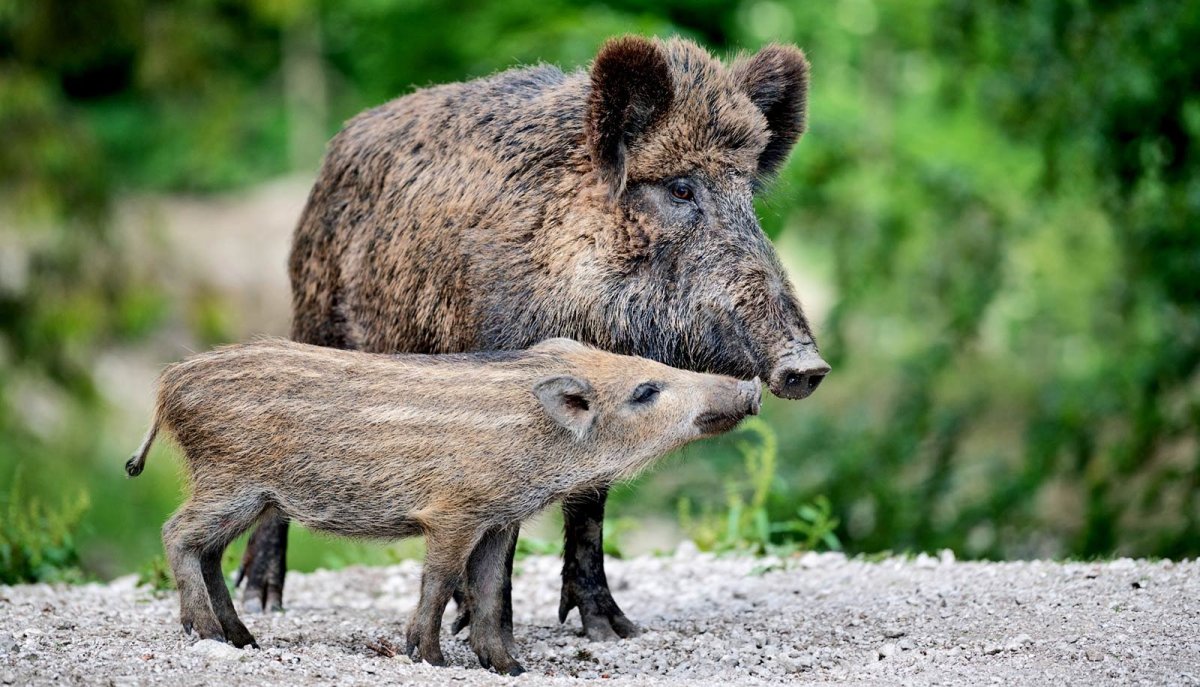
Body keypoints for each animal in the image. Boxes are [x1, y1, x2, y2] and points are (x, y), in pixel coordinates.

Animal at [126, 337, 761, 674]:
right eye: (646, 391)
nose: (752, 387)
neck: (538, 439)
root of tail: (167, 385)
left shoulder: (499, 519)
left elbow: (489, 587)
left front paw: (508, 667)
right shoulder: (453, 513)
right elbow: (441, 580)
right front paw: (429, 657)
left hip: (252, 498)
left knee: (208, 553)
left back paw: (243, 640)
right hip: (230, 484)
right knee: (176, 534)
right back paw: (206, 635)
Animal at [238, 35, 829, 642]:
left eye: (748, 198)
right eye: (680, 188)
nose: (807, 367)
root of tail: (335, 151)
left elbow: (589, 508)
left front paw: (613, 630)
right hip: (316, 319)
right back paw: (262, 602)